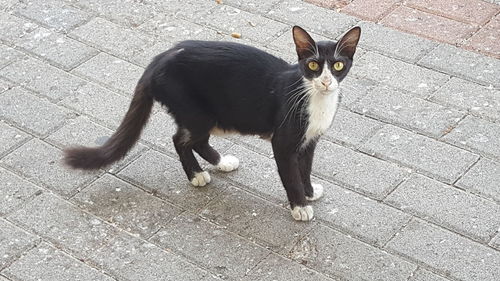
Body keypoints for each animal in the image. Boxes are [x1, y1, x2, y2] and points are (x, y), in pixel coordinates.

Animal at [64, 26, 362, 222]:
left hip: (208, 115)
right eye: (312, 65)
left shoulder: (310, 140)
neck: (315, 99)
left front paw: (310, 192)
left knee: (193, 140)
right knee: (181, 140)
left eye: (337, 66)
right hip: (197, 113)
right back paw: (197, 175)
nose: (326, 81)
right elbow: (291, 175)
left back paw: (221, 162)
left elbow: (306, 168)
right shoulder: (284, 141)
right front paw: (300, 207)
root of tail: (158, 60)